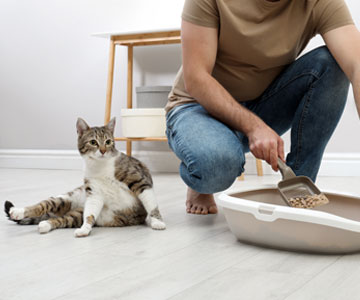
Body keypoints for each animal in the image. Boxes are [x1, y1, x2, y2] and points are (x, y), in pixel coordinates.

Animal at [3, 117, 166, 237]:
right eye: (93, 142)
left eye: (108, 141)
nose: (103, 150)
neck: (100, 167)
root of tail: (76, 205)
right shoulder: (94, 193)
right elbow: (90, 214)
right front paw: (85, 228)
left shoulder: (139, 180)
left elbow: (151, 204)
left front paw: (157, 222)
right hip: (65, 199)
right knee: (44, 206)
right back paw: (19, 212)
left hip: (77, 213)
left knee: (61, 218)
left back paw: (45, 224)